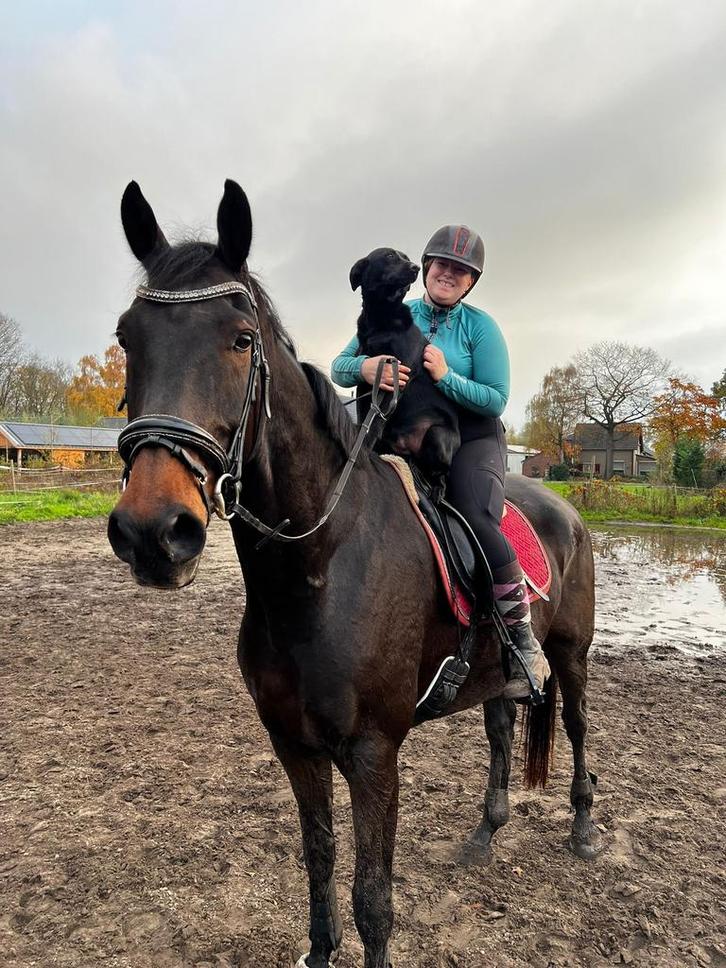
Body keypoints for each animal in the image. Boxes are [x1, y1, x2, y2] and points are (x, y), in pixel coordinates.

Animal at [108, 179, 601, 968]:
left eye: (240, 339)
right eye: (128, 336)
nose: (154, 531)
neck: (321, 568)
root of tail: (566, 509)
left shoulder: (373, 755)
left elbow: (374, 899)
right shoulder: (293, 744)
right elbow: (319, 859)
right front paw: (318, 947)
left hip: (571, 653)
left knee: (580, 726)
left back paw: (583, 828)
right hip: (496, 672)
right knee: (499, 730)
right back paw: (485, 832)